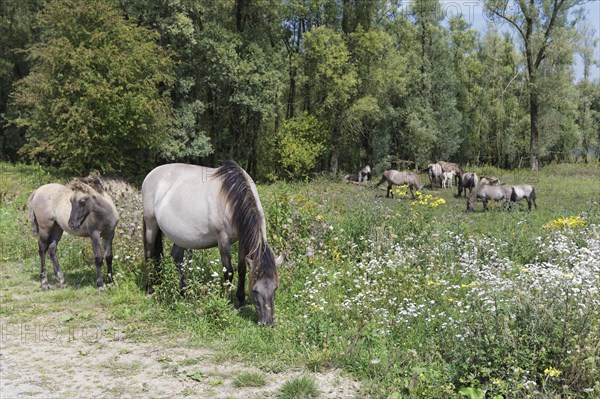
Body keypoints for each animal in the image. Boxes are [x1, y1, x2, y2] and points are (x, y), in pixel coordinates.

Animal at [142, 161, 282, 326]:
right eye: (255, 289)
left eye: (275, 288)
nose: (268, 323)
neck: (231, 197)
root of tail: (151, 174)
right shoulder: (223, 238)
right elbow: (228, 271)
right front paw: (228, 303)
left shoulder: (241, 239)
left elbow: (241, 269)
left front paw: (242, 301)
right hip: (151, 224)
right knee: (149, 254)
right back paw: (150, 289)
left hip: (180, 235)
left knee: (178, 258)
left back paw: (184, 292)